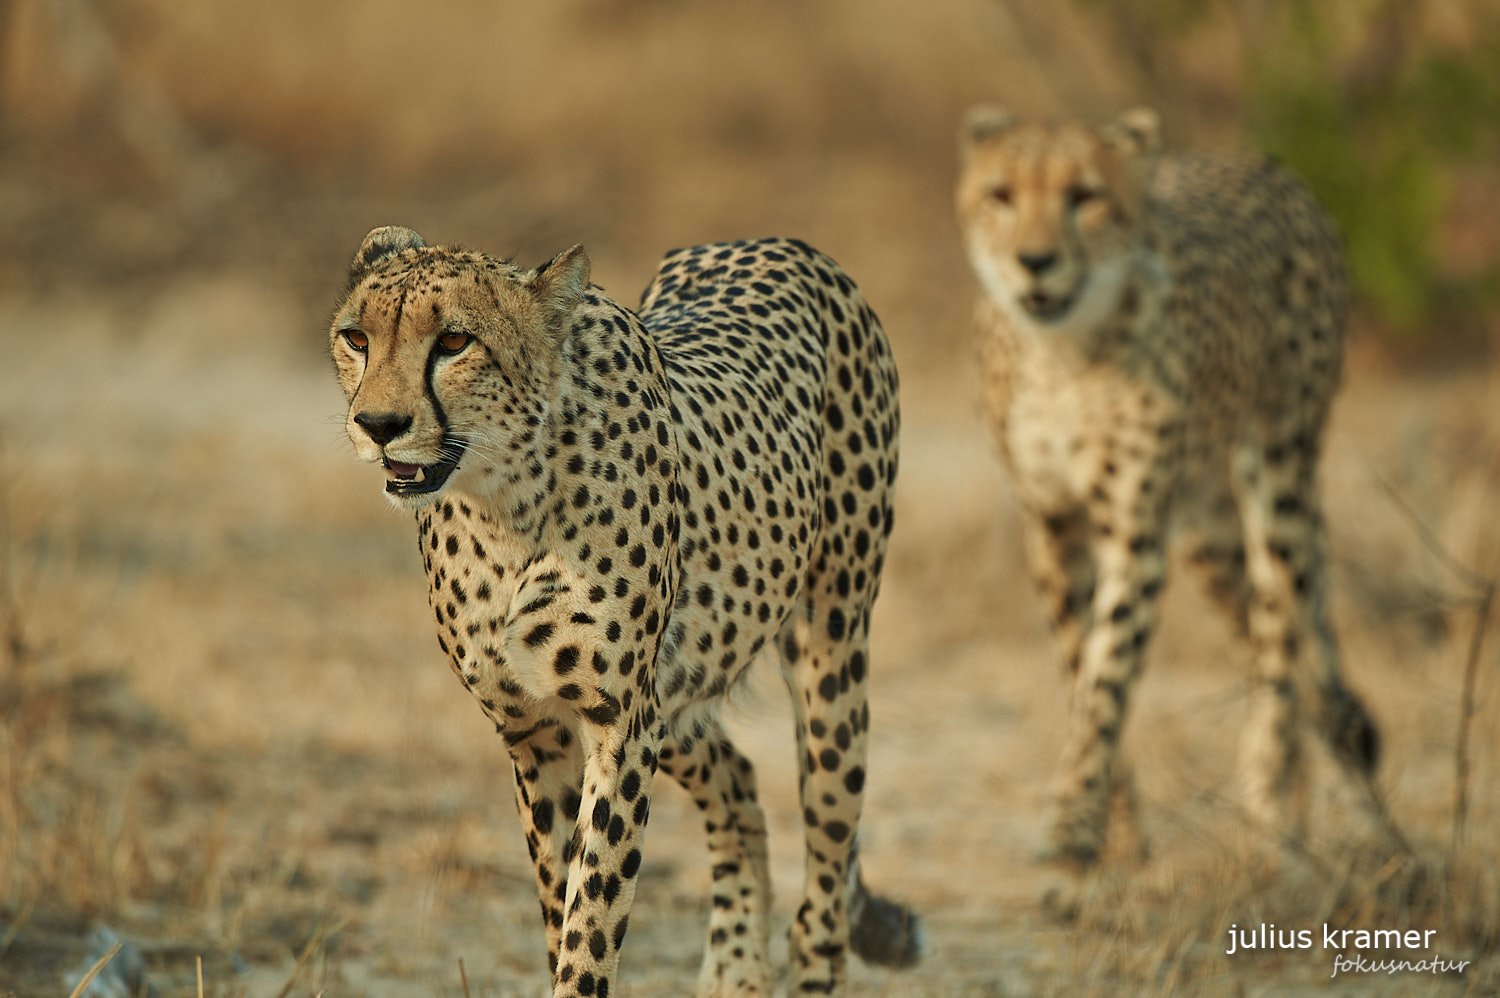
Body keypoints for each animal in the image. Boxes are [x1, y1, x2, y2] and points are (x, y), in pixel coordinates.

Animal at [328, 228, 918, 996]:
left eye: (454, 341)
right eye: (356, 338)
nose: (378, 425)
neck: (504, 505)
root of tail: (780, 242)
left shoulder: (619, 725)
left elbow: (594, 913)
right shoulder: (535, 730)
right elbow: (561, 902)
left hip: (828, 657)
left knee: (823, 884)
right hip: (680, 683)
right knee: (737, 777)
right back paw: (735, 970)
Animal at [954, 108, 1374, 870]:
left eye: (1085, 196)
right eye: (1000, 195)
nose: (1035, 261)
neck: (1064, 356)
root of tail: (1266, 165)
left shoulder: (1134, 531)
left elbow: (1106, 679)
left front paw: (1075, 827)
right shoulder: (1051, 525)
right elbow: (1079, 668)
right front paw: (1117, 838)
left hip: (1278, 478)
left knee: (1283, 638)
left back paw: (1276, 806)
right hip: (1208, 532)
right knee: (1262, 635)